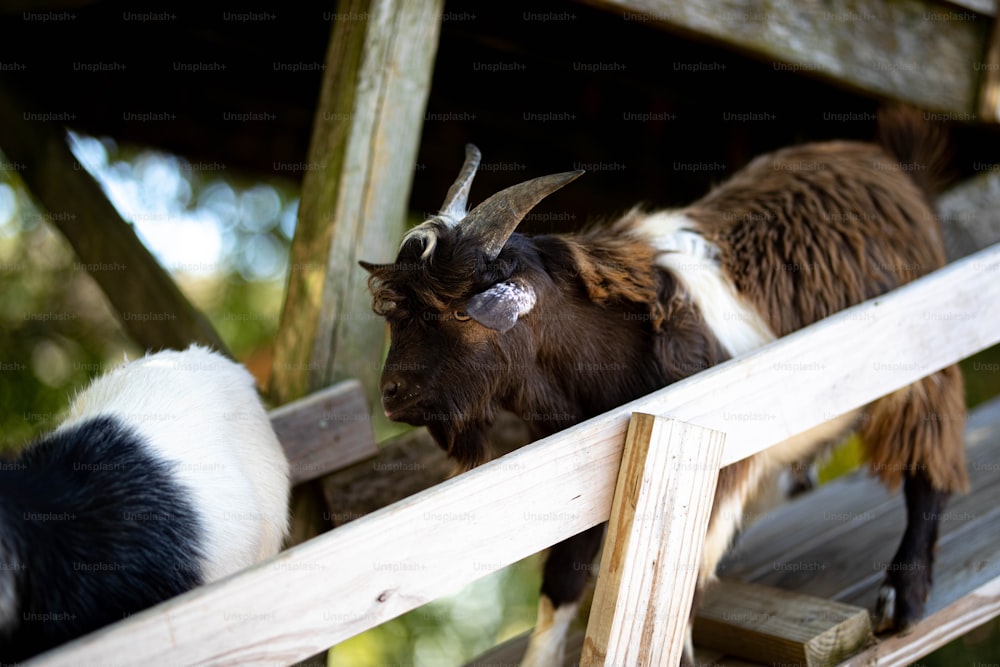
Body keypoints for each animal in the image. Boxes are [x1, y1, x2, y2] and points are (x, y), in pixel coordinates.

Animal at [360, 111, 960, 667]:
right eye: (396, 315)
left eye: (462, 312)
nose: (392, 394)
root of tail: (887, 164)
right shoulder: (584, 478)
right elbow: (563, 580)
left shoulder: (705, 470)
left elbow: (677, 585)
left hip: (922, 369)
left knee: (929, 471)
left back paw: (903, 599)